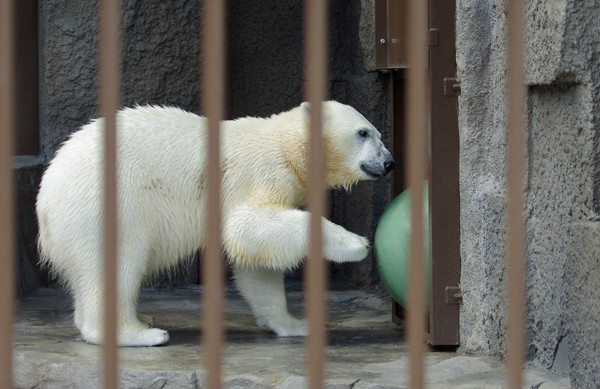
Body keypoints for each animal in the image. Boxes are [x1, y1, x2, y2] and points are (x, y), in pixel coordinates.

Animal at [36, 100, 394, 346]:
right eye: (363, 133)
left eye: (377, 132)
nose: (389, 162)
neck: (285, 144)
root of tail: (45, 202)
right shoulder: (261, 173)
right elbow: (247, 226)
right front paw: (356, 243)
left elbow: (256, 265)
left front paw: (297, 324)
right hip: (111, 205)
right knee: (121, 260)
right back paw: (142, 334)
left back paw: (143, 317)